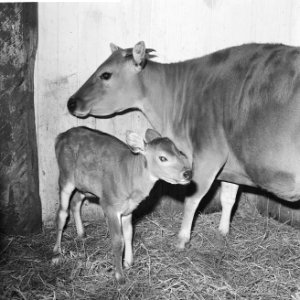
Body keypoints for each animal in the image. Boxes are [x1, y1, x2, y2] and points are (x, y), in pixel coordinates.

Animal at [67, 41, 300, 248]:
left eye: (106, 74)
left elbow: (192, 199)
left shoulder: (209, 155)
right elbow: (228, 198)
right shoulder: (231, 165)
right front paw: (223, 231)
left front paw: (181, 239)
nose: (71, 102)